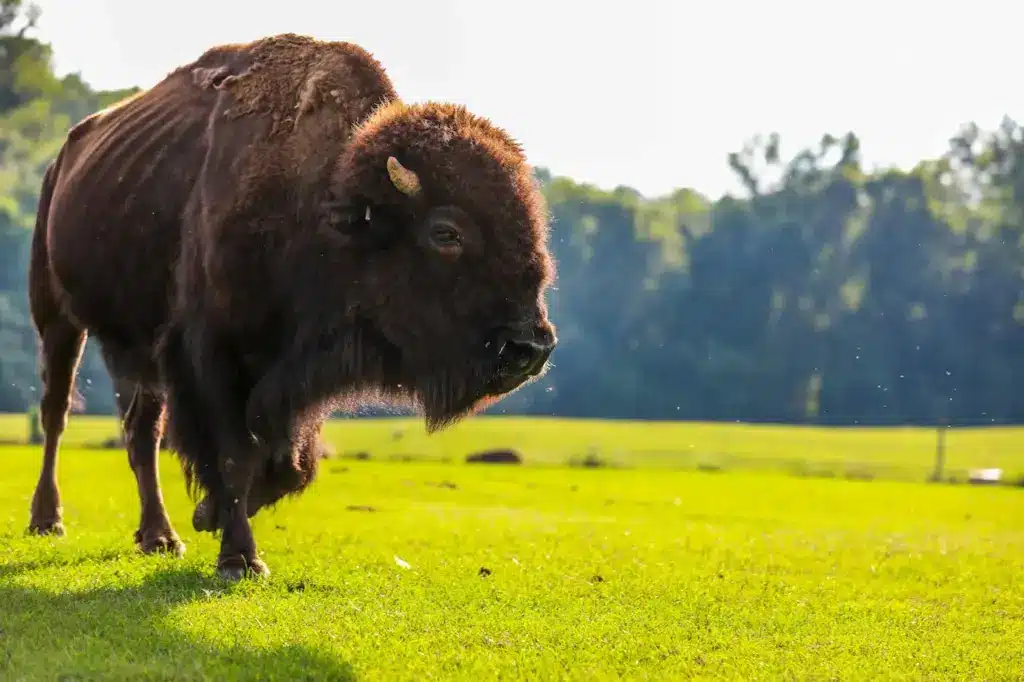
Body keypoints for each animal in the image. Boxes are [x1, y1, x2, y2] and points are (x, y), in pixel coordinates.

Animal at [25, 34, 552, 577]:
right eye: (446, 232)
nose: (530, 348)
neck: (324, 205)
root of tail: (62, 160)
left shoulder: (291, 377)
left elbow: (290, 464)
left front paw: (208, 514)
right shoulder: (211, 357)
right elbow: (235, 456)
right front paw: (239, 557)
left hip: (133, 347)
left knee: (140, 432)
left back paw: (160, 536)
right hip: (57, 318)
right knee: (56, 413)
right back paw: (48, 520)